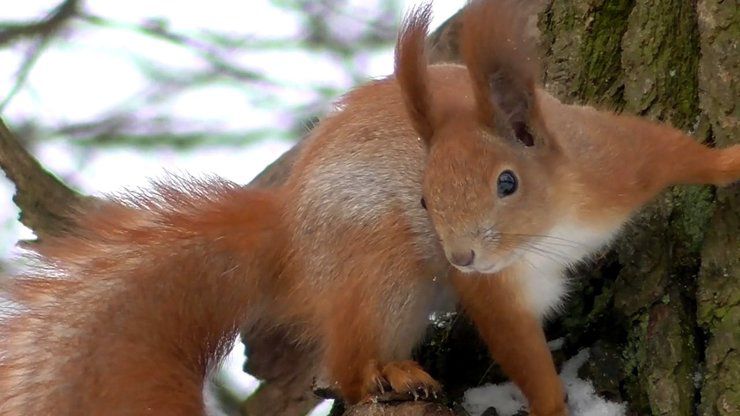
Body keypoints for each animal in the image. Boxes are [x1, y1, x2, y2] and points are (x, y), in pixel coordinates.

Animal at [0, 0, 736, 416]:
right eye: (423, 197)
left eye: (507, 183)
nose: (461, 254)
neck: (550, 230)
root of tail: (287, 240)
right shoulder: (496, 288)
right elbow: (518, 346)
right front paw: (552, 406)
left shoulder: (613, 163)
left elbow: (676, 150)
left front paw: (730, 160)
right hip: (378, 271)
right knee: (347, 368)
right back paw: (392, 373)